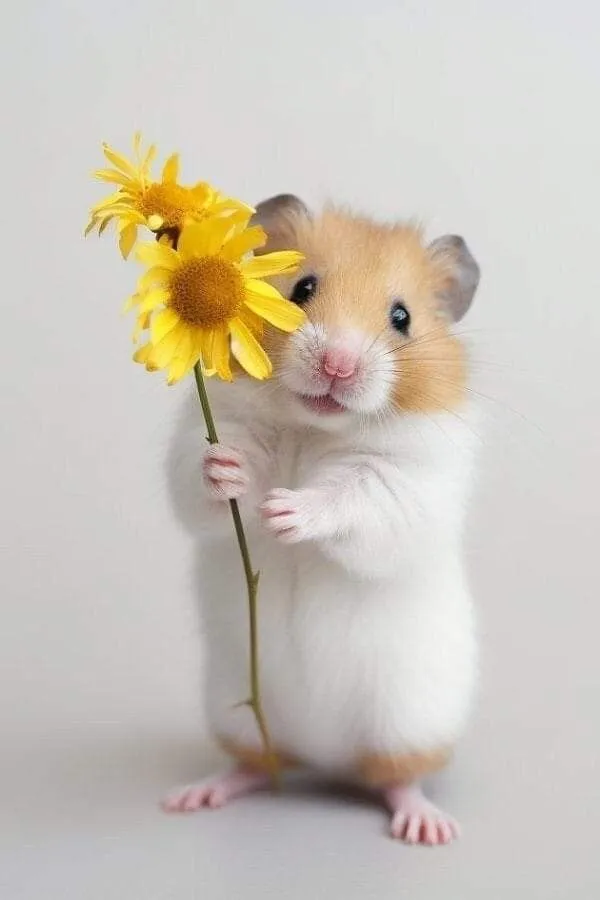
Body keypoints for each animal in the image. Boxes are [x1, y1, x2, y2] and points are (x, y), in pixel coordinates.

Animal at [163, 196, 481, 846]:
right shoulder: (206, 435)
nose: (338, 364)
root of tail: (325, 756)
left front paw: (283, 509)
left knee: (397, 778)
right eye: (302, 288)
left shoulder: (405, 482)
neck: (315, 426)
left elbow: (350, 499)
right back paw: (196, 795)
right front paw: (230, 473)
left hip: (410, 721)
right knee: (256, 763)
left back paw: (427, 827)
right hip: (233, 709)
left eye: (402, 317)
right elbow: (200, 477)